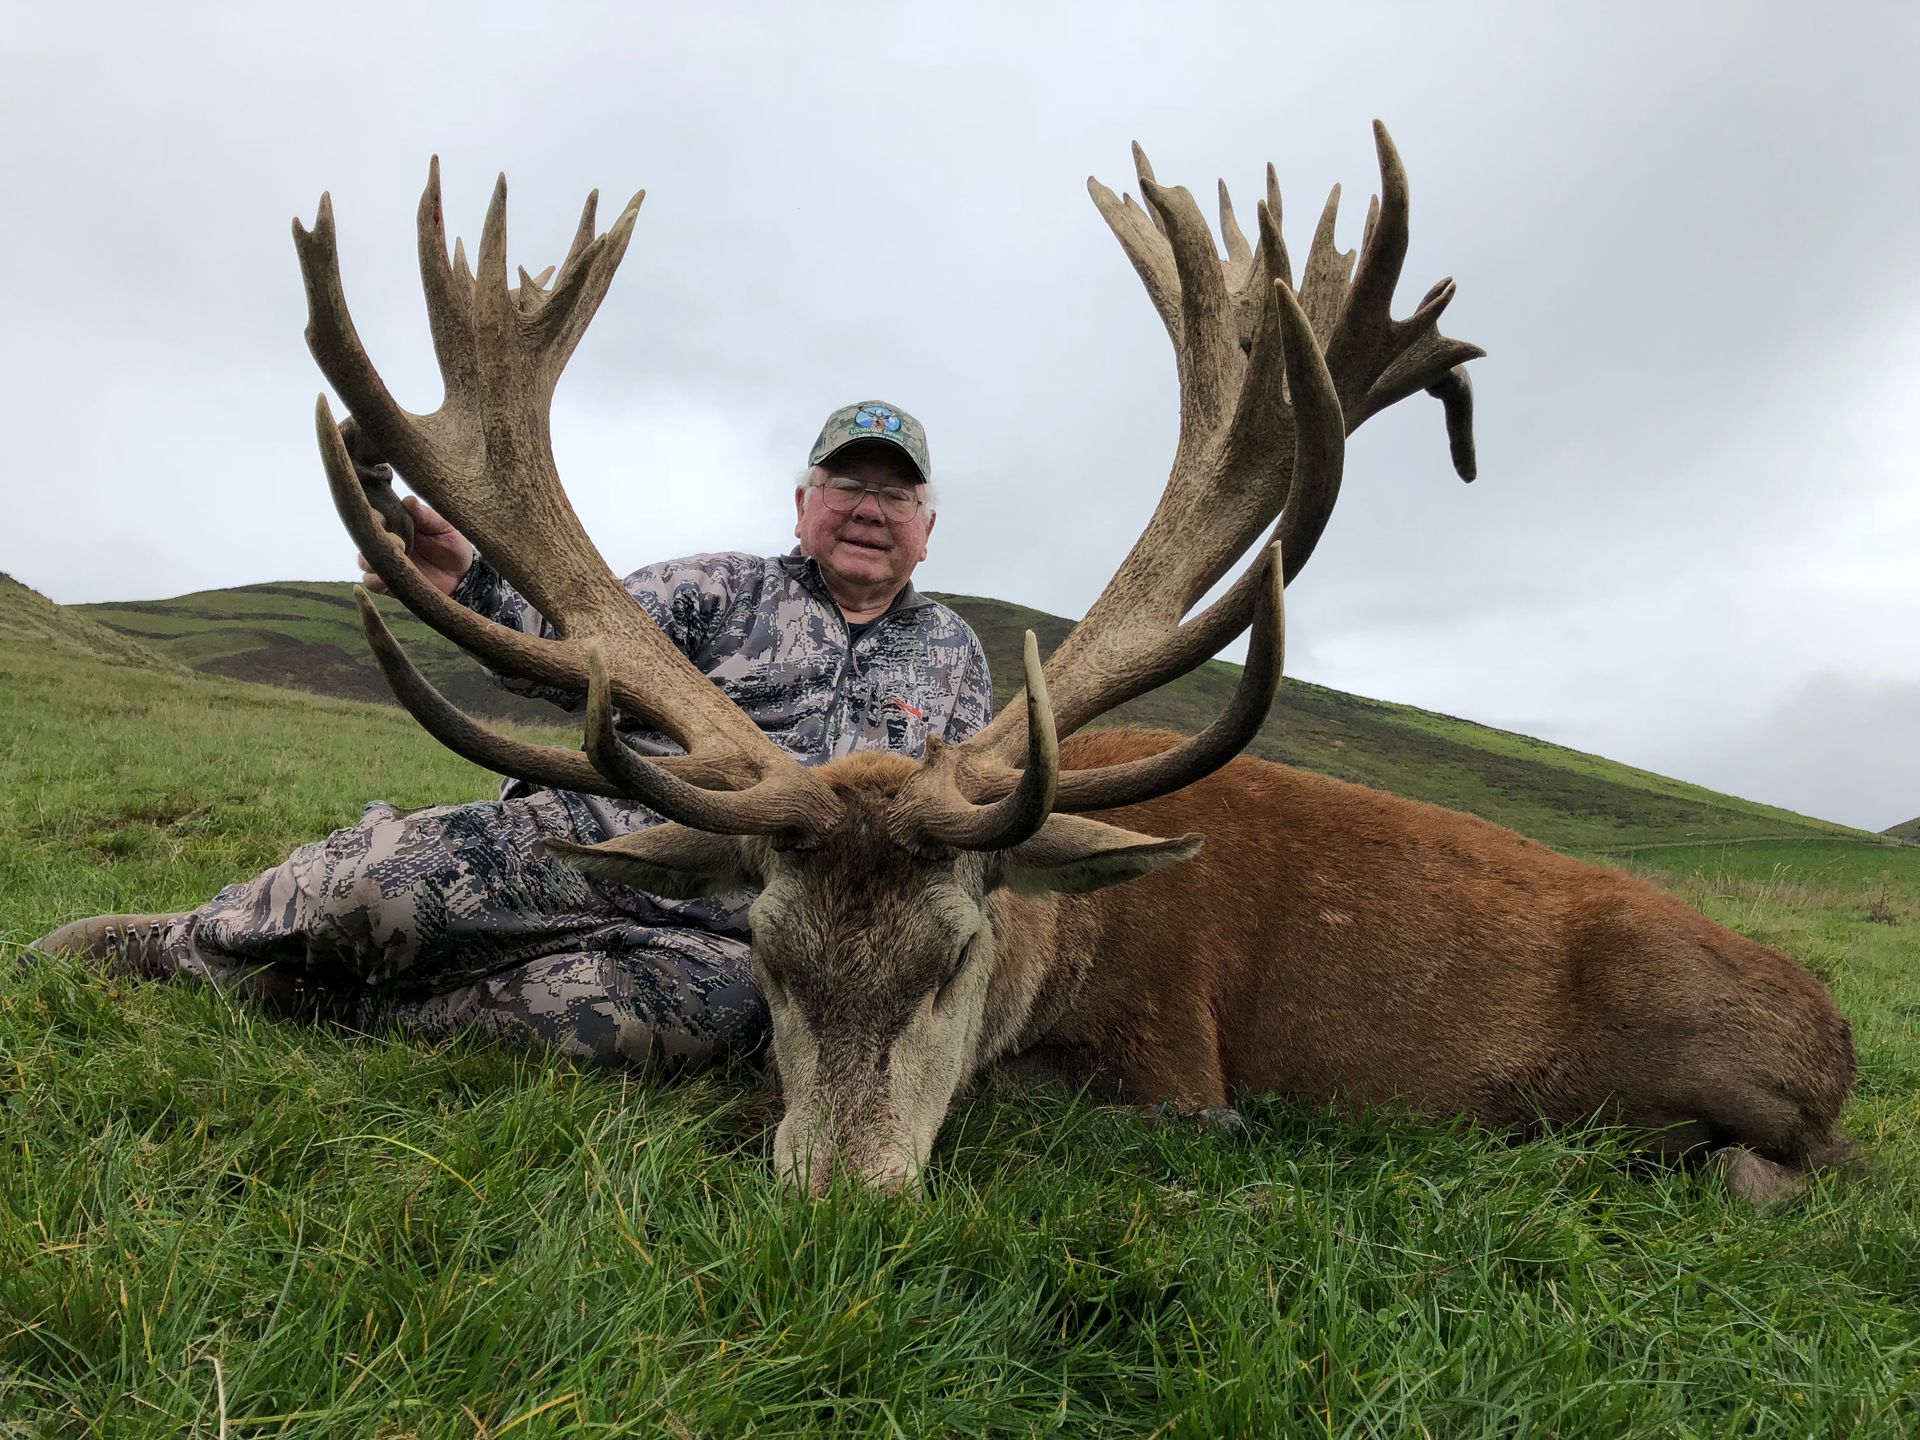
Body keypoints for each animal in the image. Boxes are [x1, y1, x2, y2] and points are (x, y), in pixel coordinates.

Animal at [294, 123, 1857, 1208]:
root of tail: (1839, 1029)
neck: (1065, 939)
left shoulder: (1178, 1072)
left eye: (957, 956)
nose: (838, 1199)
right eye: (771, 954)